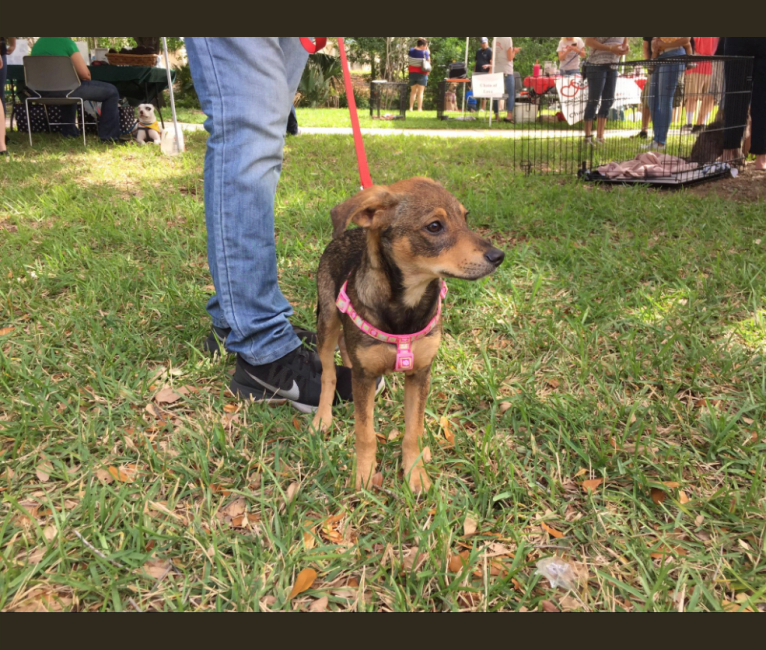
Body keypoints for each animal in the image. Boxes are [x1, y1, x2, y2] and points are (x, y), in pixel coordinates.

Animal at [310, 177, 504, 492]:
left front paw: (416, 473)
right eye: (435, 226)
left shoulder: (420, 373)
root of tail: (348, 231)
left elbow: (414, 430)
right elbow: (364, 432)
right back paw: (322, 417)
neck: (406, 304)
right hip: (326, 320)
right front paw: (364, 474)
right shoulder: (364, 376)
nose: (498, 256)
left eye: (465, 218)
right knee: (328, 371)